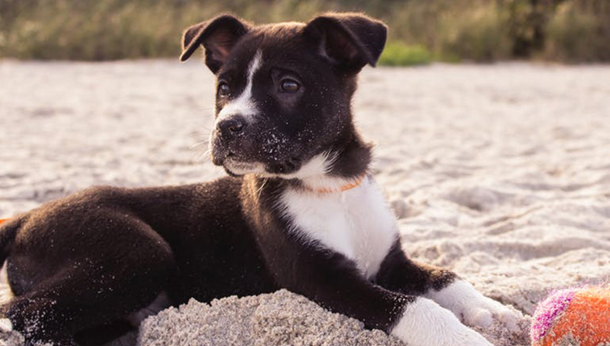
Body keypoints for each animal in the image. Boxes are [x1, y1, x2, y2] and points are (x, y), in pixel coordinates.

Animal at [0, 12, 516, 346]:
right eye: (224, 88)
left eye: (288, 85)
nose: (226, 126)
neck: (329, 185)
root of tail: (27, 216)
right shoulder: (321, 279)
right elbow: (412, 305)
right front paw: (463, 337)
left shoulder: (389, 262)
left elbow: (446, 276)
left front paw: (493, 310)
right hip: (137, 251)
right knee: (21, 315)